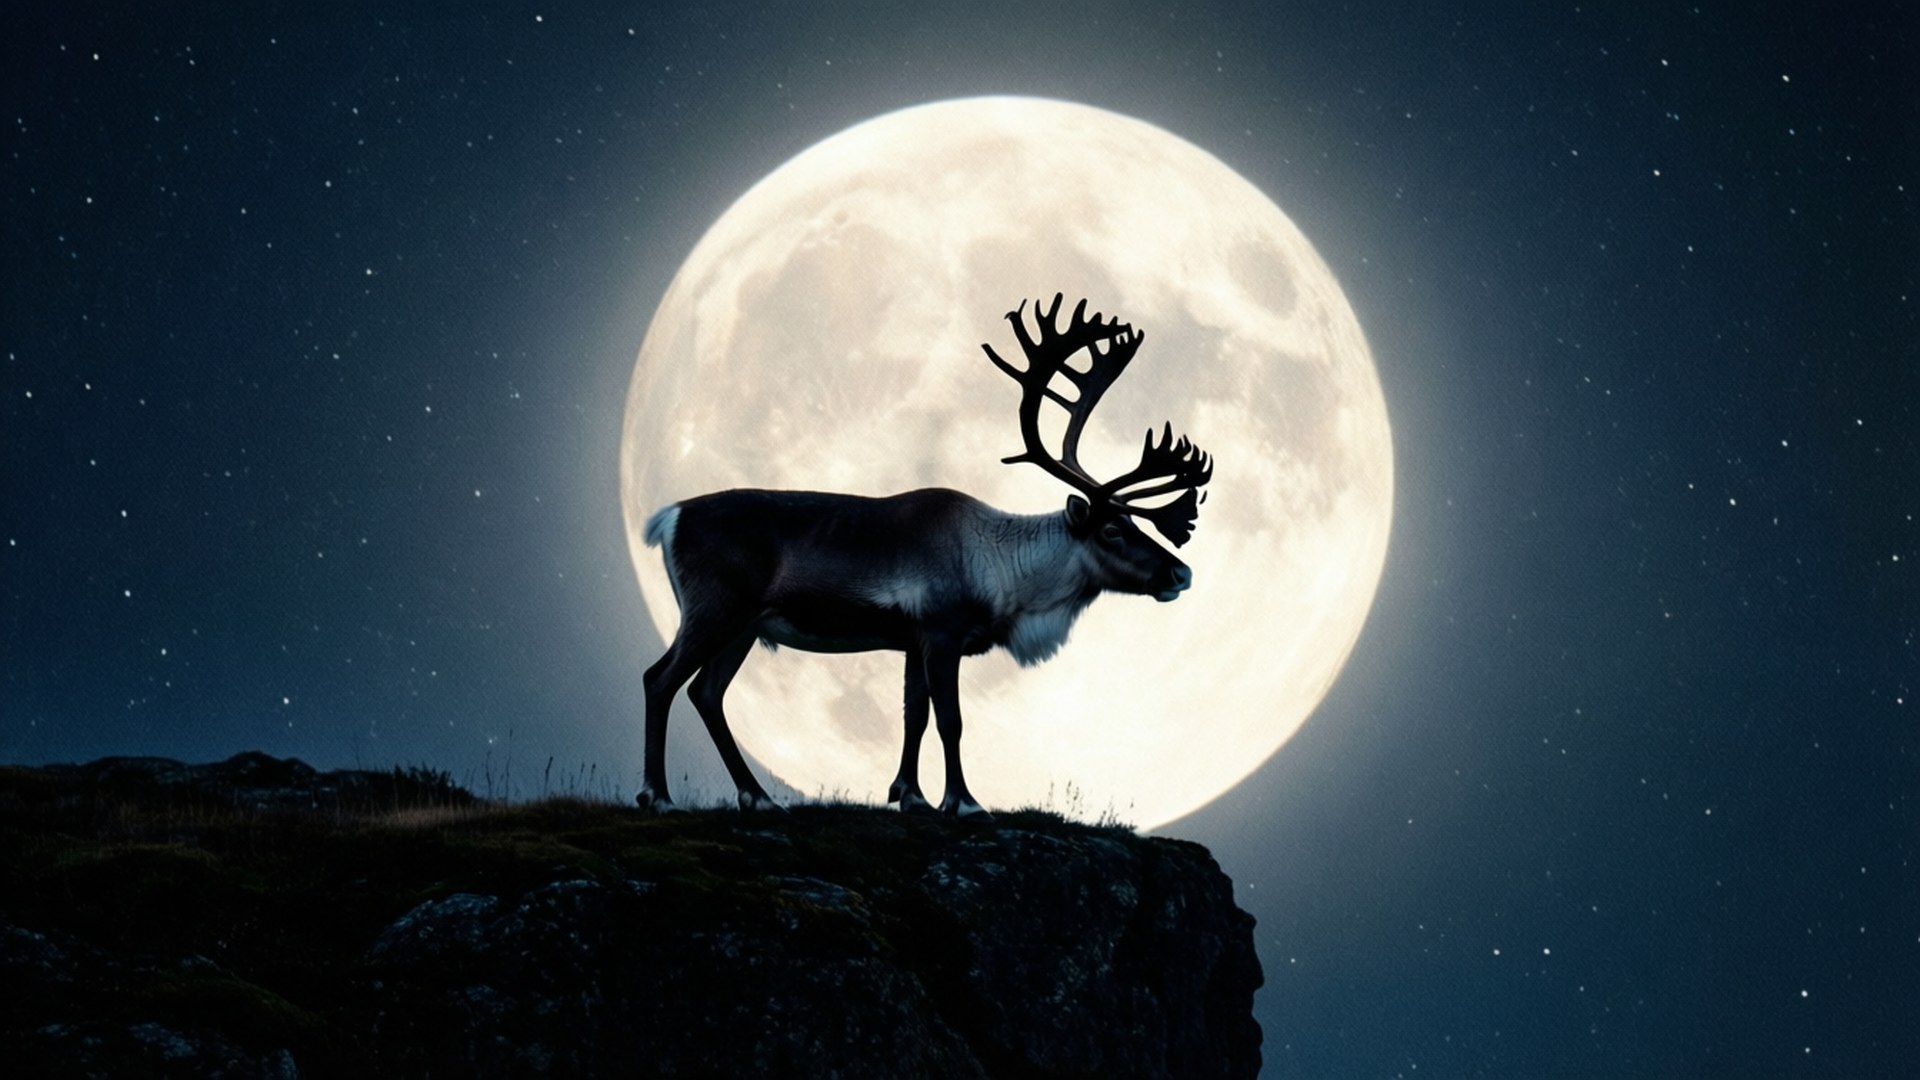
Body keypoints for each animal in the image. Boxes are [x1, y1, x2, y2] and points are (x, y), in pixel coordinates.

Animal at [636, 294, 1212, 818]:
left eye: (1138, 523)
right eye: (1112, 529)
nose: (1180, 571)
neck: (1003, 574)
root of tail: (668, 517)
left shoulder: (912, 640)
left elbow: (912, 715)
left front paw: (909, 795)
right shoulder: (941, 631)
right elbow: (950, 721)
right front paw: (964, 802)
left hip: (745, 627)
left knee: (706, 692)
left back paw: (756, 796)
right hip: (714, 609)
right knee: (660, 679)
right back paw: (658, 796)